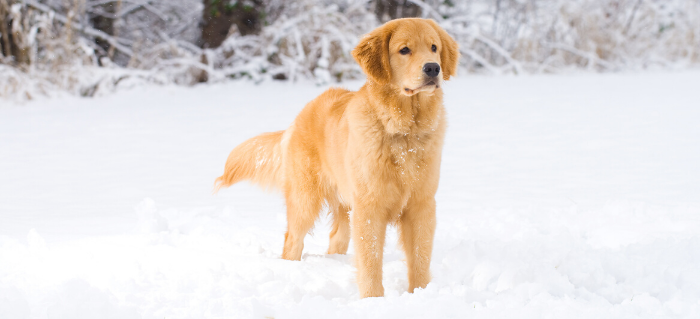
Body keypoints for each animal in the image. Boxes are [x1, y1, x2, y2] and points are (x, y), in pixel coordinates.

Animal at [216, 18, 462, 298]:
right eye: (404, 50)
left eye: (434, 47)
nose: (433, 68)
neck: (403, 133)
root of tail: (300, 116)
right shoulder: (369, 208)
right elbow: (370, 261)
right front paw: (373, 300)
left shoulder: (421, 206)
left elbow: (420, 258)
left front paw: (420, 294)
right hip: (305, 200)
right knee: (292, 240)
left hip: (344, 204)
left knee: (336, 237)